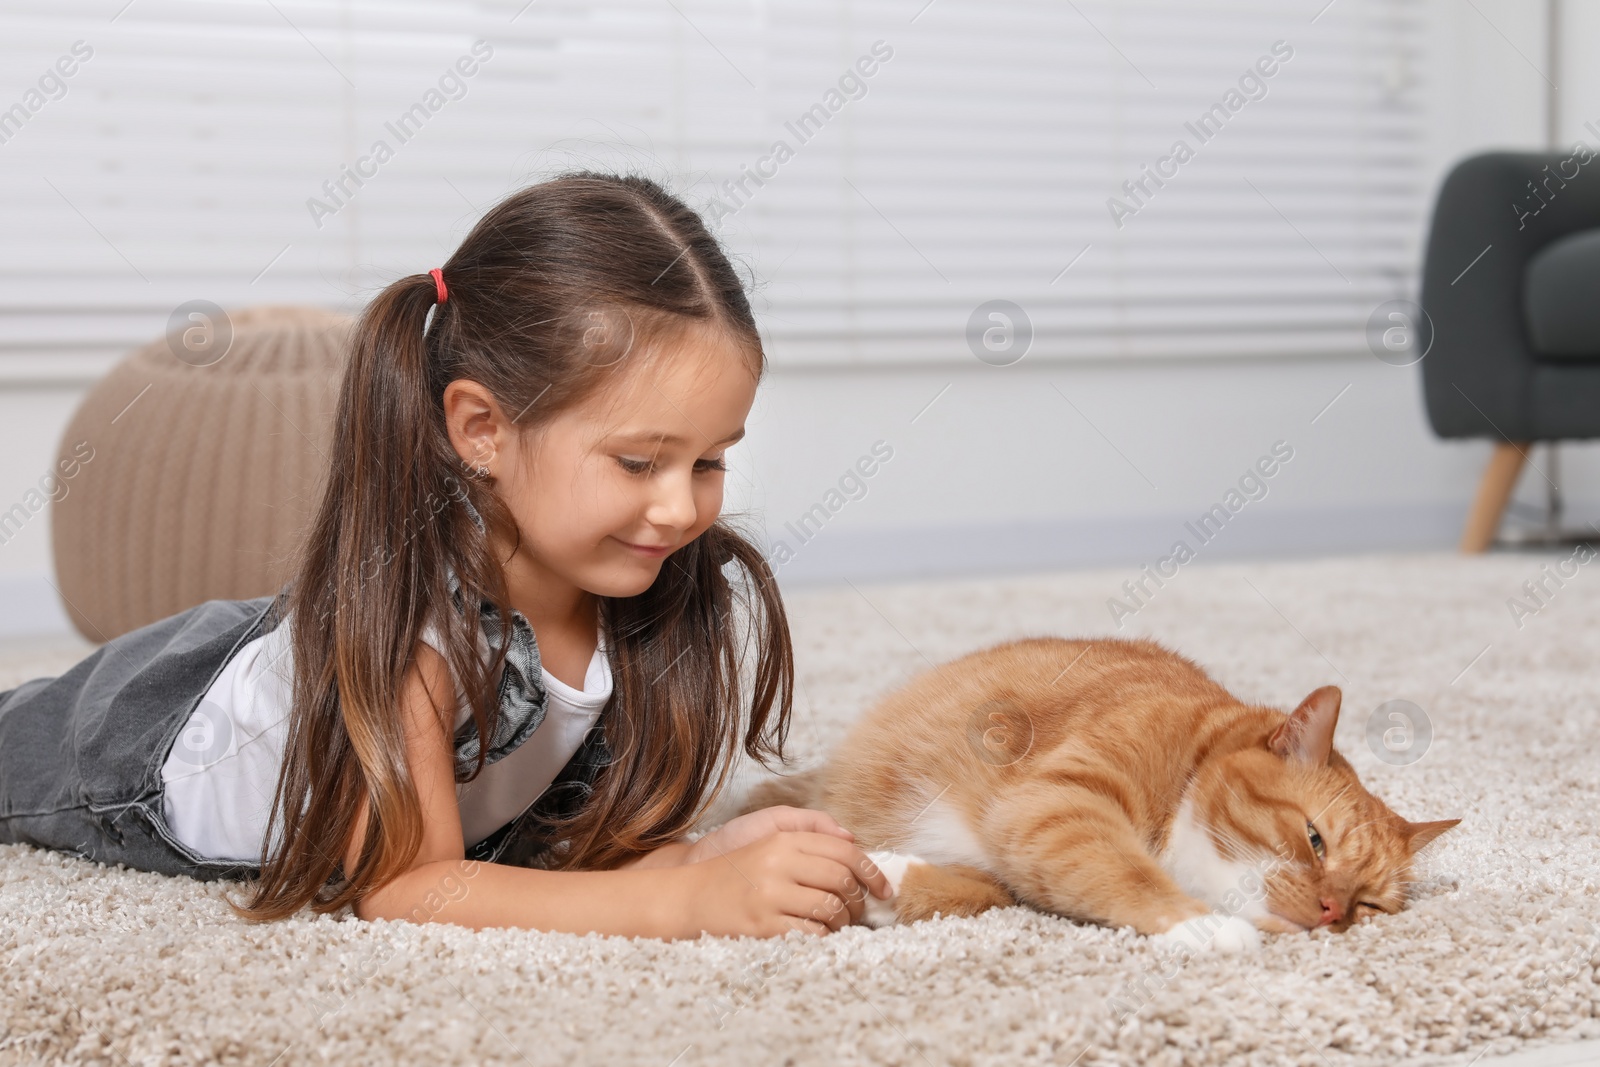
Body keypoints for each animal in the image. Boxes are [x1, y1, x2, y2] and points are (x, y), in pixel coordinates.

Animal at [742, 639, 1459, 953]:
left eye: (1370, 904)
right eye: (1314, 839)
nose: (1334, 911)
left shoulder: (1021, 847)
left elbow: (982, 891)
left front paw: (875, 882)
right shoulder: (1057, 803)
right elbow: (1123, 871)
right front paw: (1199, 921)